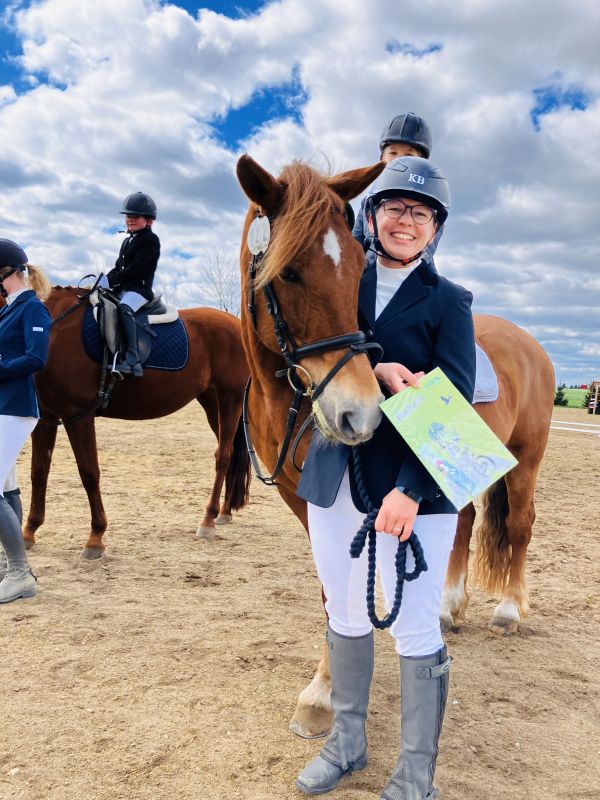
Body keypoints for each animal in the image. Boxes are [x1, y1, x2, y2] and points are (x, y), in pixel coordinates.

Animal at [9, 286, 251, 557]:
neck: (53, 331)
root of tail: (235, 323)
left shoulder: (78, 415)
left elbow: (89, 472)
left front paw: (95, 537)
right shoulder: (47, 418)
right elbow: (39, 471)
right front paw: (29, 531)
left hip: (230, 397)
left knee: (224, 456)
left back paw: (208, 520)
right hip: (212, 402)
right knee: (231, 452)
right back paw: (225, 511)